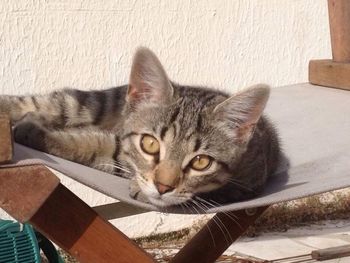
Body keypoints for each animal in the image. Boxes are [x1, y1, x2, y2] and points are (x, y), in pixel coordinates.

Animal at [0, 47, 278, 208]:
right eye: (150, 144)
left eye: (201, 162)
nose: (163, 187)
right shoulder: (123, 146)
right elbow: (92, 142)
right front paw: (33, 129)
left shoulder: (247, 184)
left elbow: (92, 145)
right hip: (94, 102)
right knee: (52, 102)